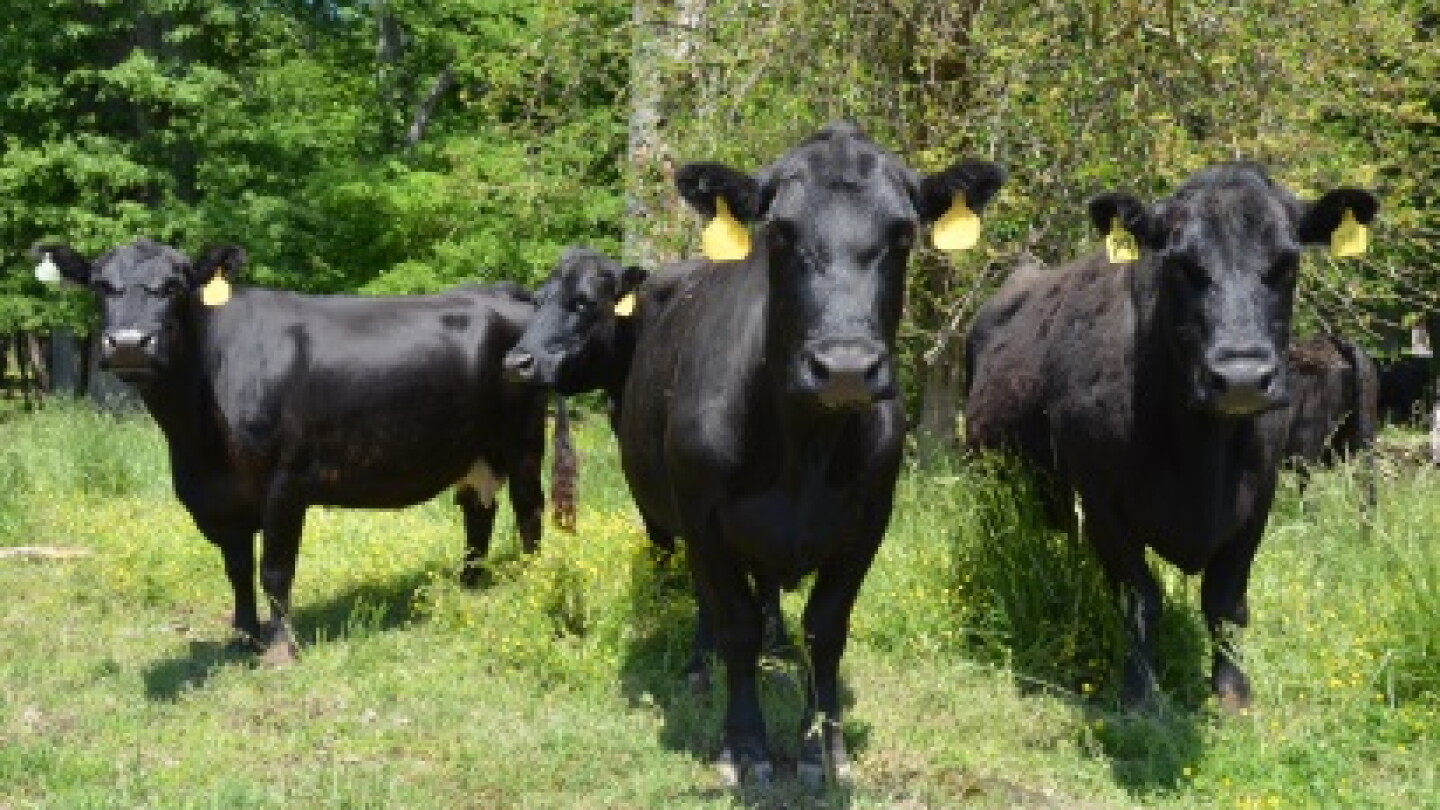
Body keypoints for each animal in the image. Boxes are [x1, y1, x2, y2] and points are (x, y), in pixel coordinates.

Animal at [32, 239, 550, 664]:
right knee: (477, 510)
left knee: (528, 510)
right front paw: (243, 637)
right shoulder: (217, 499)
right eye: (101, 286)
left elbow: (275, 570)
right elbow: (238, 569)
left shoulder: (285, 484)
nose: (128, 345)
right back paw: (468, 587)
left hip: (524, 440)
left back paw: (532, 583)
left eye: (174, 286)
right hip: (475, 449)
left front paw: (281, 648)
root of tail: (503, 291)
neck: (196, 443)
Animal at [616, 122, 1005, 786]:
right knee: (709, 606)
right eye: (780, 232)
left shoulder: (868, 521)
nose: (845, 366)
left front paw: (821, 747)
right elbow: (736, 624)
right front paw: (744, 746)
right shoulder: (704, 520)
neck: (803, 451)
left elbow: (826, 630)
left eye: (903, 233)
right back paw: (699, 671)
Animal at [965, 164, 1377, 711]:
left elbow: (1226, 601)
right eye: (1180, 264)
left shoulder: (1259, 498)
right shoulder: (1102, 501)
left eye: (1286, 261)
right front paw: (1140, 694)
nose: (1241, 377)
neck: (1200, 454)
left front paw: (1233, 693)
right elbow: (1140, 598)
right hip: (993, 484)